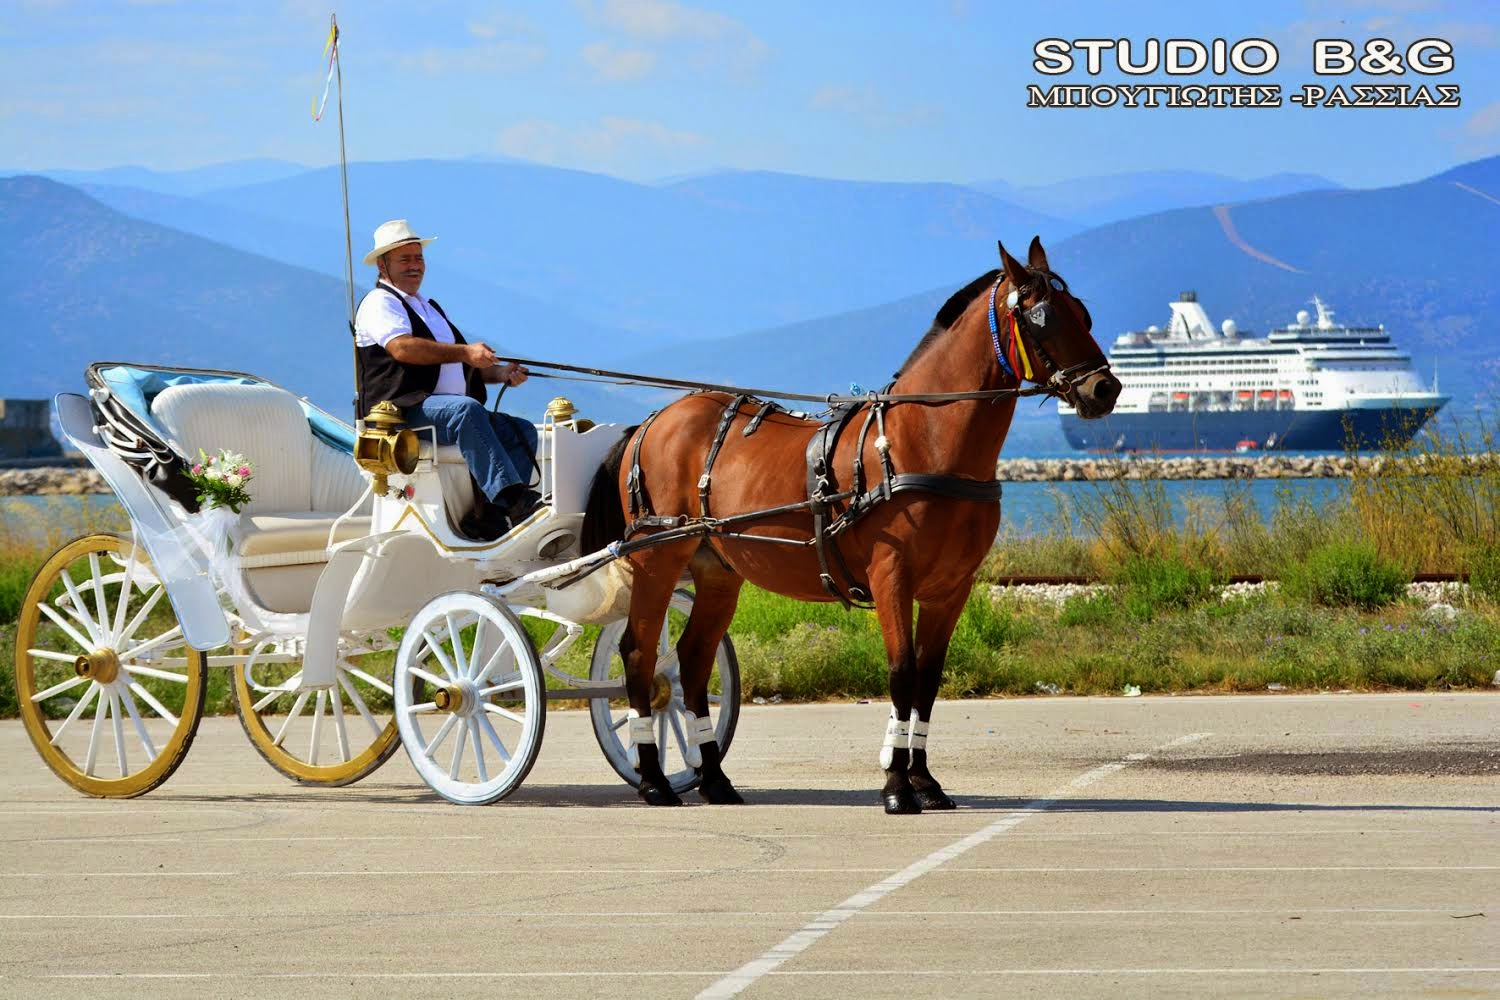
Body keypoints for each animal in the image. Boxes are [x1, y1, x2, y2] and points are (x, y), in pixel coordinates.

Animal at [579, 236, 1122, 815]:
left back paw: (714, 779)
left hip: (717, 570)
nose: (1105, 389)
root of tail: (655, 420)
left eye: (1083, 313)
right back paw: (654, 779)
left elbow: (928, 680)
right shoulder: (891, 575)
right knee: (640, 654)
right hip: (659, 557)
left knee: (693, 659)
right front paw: (897, 786)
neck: (923, 441)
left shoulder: (951, 588)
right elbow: (902, 673)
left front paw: (924, 780)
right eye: (1043, 317)